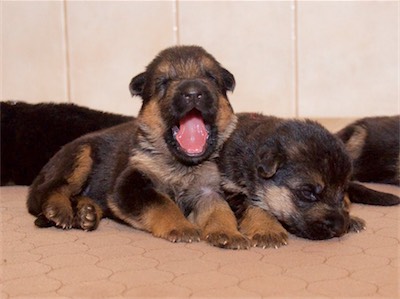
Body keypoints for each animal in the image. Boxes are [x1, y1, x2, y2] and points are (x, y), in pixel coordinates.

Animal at [26, 45, 248, 251]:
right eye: (163, 82)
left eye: (210, 77)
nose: (193, 93)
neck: (181, 166)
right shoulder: (130, 184)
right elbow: (162, 202)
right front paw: (181, 226)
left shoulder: (209, 189)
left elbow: (220, 209)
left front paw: (228, 232)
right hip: (80, 156)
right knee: (49, 190)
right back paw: (59, 209)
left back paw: (86, 213)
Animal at [219, 112, 400, 248]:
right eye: (307, 193)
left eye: (342, 192)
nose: (339, 228)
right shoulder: (230, 188)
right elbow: (253, 206)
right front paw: (267, 229)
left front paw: (351, 217)